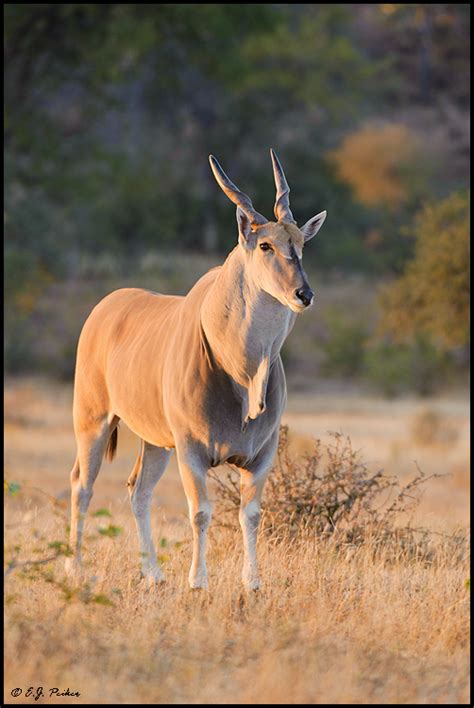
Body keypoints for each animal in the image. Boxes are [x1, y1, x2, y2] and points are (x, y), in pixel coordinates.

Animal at [65, 151, 326, 592]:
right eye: (266, 245)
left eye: (301, 244)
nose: (303, 294)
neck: (241, 372)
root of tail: (105, 307)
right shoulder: (191, 451)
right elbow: (200, 512)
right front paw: (198, 581)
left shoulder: (261, 455)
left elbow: (251, 514)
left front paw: (253, 583)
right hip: (93, 421)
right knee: (82, 484)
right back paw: (76, 566)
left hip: (155, 441)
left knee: (138, 491)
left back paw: (153, 573)